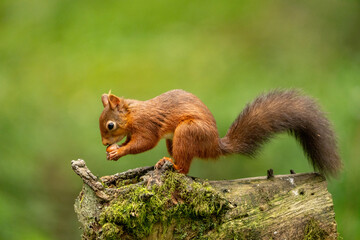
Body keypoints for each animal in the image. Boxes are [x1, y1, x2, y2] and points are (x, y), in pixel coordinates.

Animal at [97, 89, 340, 175]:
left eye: (110, 125)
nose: (104, 144)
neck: (133, 113)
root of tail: (214, 145)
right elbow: (132, 141)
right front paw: (114, 150)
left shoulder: (147, 125)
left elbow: (144, 143)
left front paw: (118, 151)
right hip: (174, 139)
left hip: (187, 132)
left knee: (185, 168)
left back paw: (172, 164)